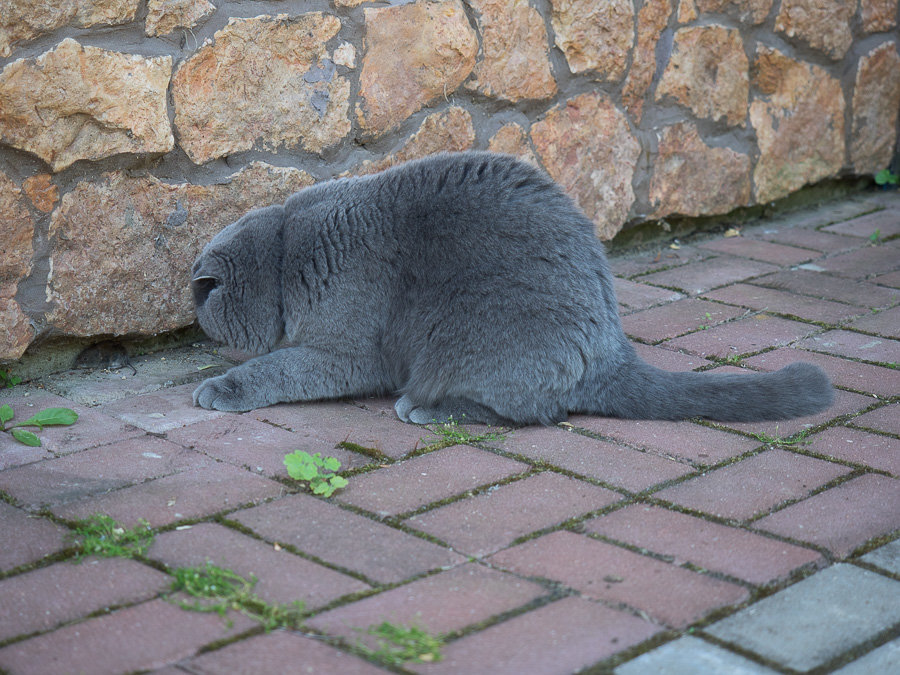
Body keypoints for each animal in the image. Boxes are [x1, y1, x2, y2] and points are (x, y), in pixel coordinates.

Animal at [193, 156, 832, 426]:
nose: (192, 316)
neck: (286, 257)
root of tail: (611, 347)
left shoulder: (345, 352)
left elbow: (280, 368)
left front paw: (222, 387)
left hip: (470, 340)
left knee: (532, 412)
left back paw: (422, 409)